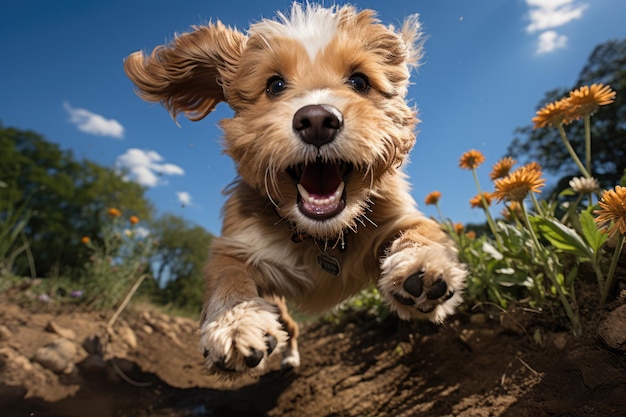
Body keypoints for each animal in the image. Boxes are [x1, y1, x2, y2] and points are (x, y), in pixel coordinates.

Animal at [124, 1, 464, 376]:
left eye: (359, 81)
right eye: (275, 85)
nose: (316, 120)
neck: (321, 236)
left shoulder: (397, 216)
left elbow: (419, 230)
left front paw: (419, 265)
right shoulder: (237, 246)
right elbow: (228, 274)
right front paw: (235, 323)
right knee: (292, 328)